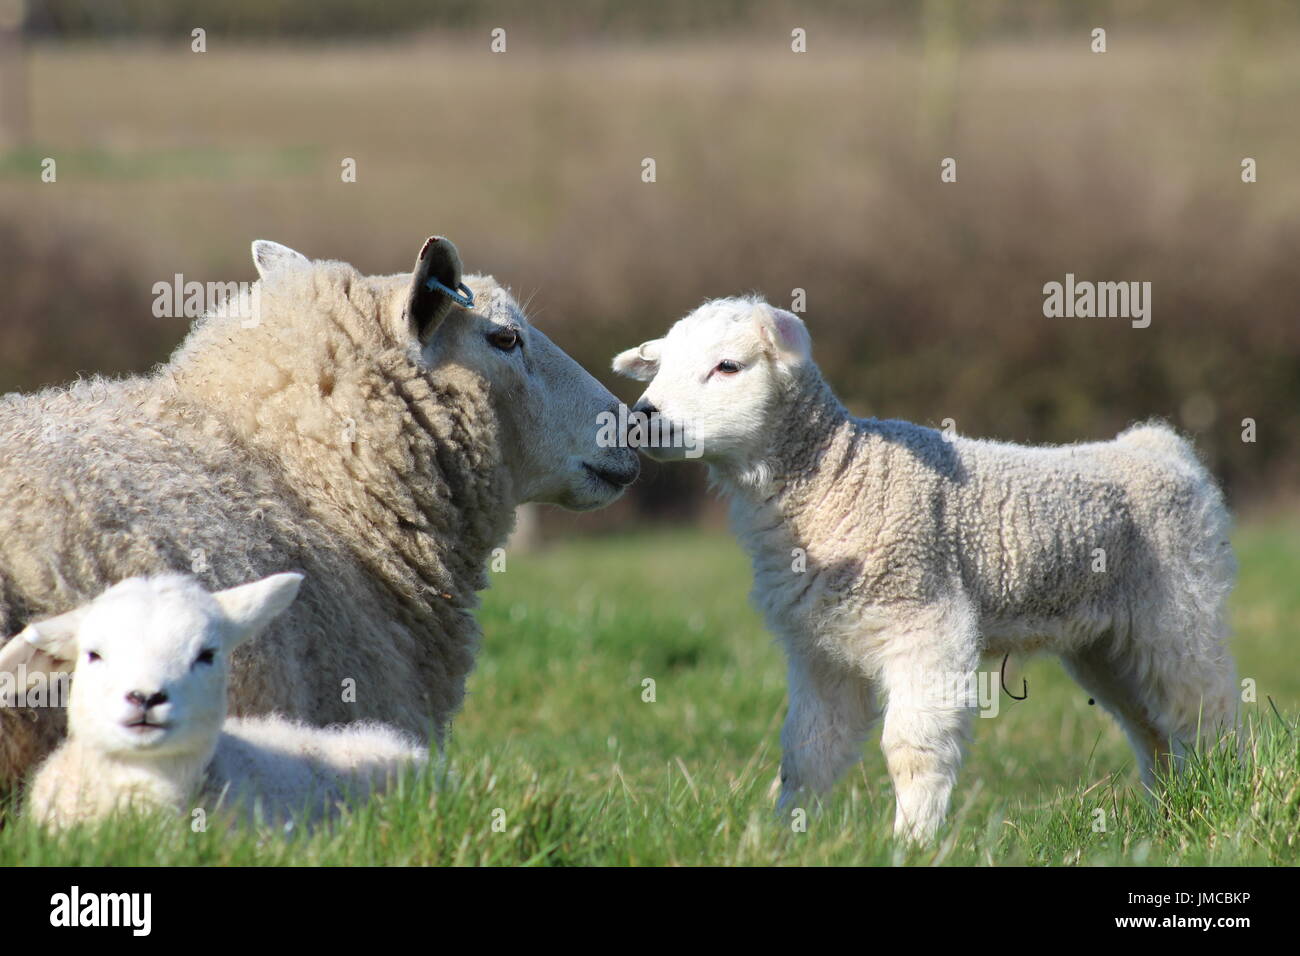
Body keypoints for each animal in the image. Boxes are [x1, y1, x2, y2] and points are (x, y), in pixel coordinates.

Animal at [613, 295, 1232, 842]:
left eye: (728, 366)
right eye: (661, 367)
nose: (642, 418)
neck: (838, 477)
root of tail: (1156, 445)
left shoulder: (926, 623)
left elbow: (912, 750)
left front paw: (911, 842)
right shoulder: (818, 648)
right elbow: (807, 752)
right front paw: (782, 837)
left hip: (1181, 609)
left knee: (1208, 713)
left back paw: (1224, 803)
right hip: (1105, 644)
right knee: (1154, 732)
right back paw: (1168, 815)